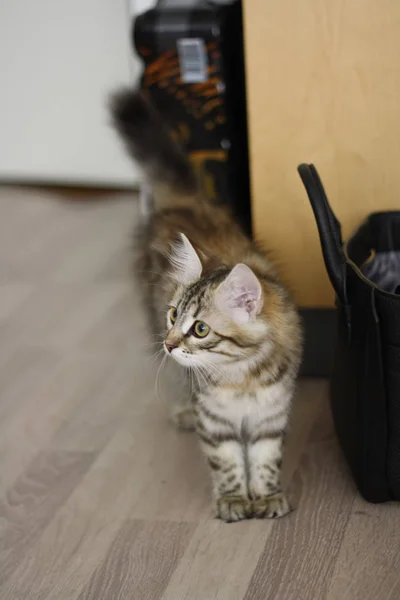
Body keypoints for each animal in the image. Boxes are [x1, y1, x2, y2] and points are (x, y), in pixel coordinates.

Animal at [111, 88, 302, 520]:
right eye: (174, 315)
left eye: (200, 329)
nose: (170, 343)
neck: (242, 376)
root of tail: (187, 202)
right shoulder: (214, 420)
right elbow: (227, 462)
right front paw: (233, 499)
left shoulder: (272, 413)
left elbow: (265, 459)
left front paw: (266, 496)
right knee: (177, 380)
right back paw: (181, 411)